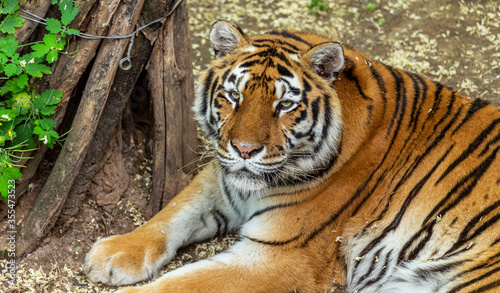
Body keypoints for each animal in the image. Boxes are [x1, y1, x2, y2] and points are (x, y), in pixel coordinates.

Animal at [84, 21, 500, 292]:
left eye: (284, 105)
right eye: (233, 96)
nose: (245, 150)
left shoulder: (277, 258)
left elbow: (181, 284)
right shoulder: (220, 179)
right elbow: (173, 212)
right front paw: (112, 253)